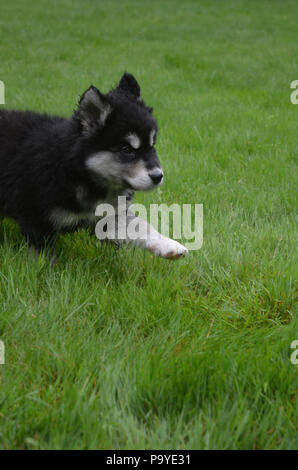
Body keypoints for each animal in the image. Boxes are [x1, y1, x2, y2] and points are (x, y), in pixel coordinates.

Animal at [0, 74, 187, 260]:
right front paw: (43, 269)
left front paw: (168, 245)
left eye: (152, 146)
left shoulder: (108, 216)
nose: (158, 176)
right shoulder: (37, 219)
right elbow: (43, 257)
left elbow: (140, 225)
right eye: (126, 150)